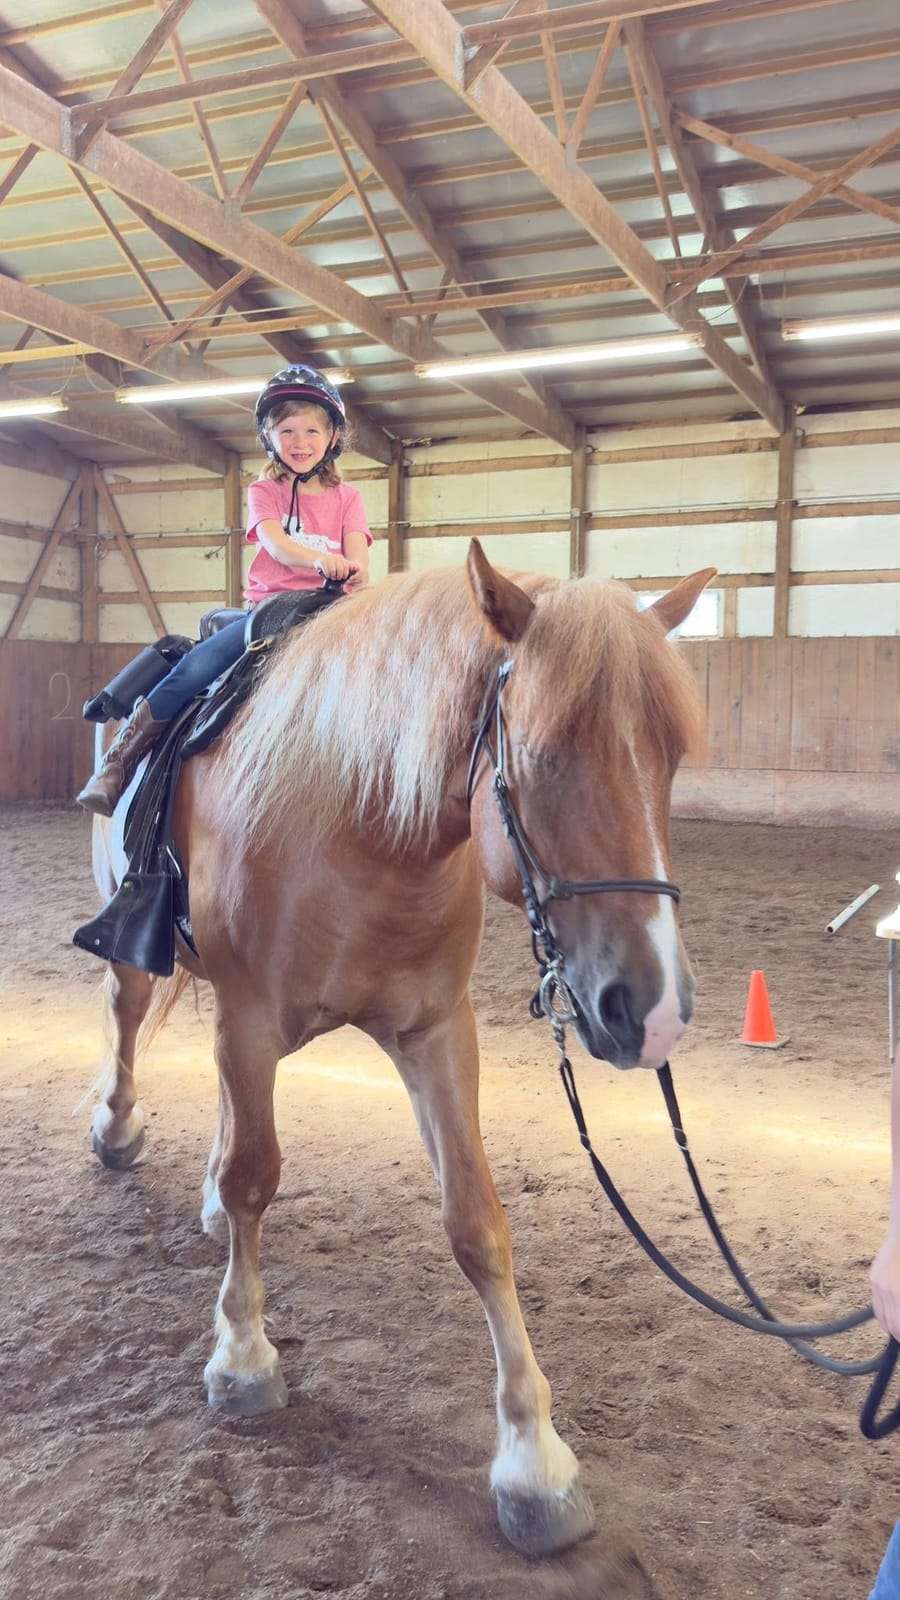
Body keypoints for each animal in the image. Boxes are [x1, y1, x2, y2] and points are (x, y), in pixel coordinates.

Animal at [86, 540, 713, 1557]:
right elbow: (257, 1175)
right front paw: (243, 1357)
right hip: (143, 951)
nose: (652, 1012)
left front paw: (535, 1463)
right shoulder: (251, 1019)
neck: (355, 821)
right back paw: (114, 1131)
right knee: (126, 1014)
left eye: (670, 758)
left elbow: (477, 1223)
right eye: (541, 754)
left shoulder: (436, 1033)